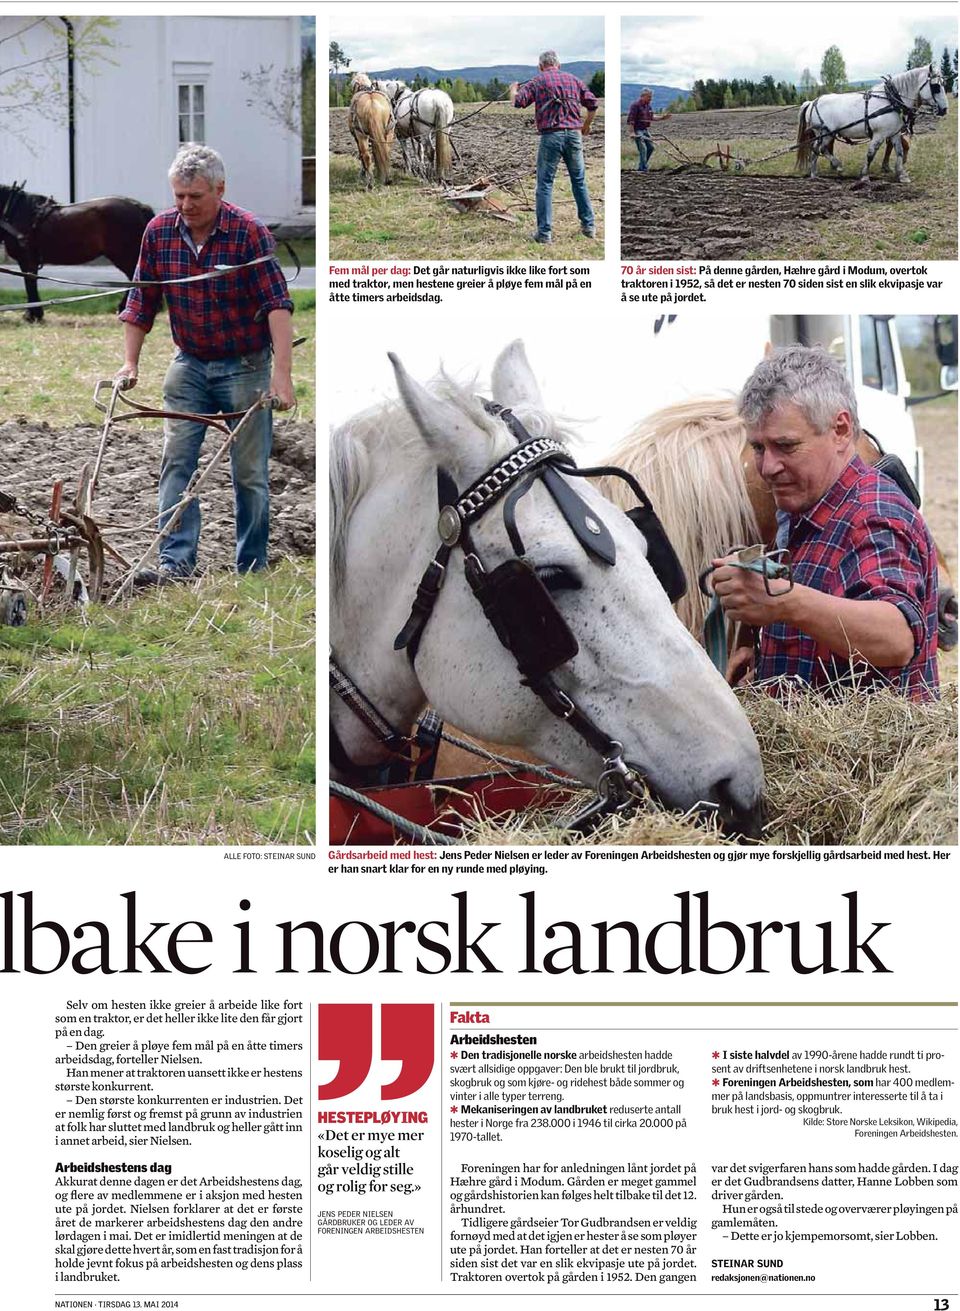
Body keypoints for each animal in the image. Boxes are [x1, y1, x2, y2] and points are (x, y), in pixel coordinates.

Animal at [0, 182, 152, 322]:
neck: (15, 211)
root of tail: (138, 207)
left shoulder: (27, 260)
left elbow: (30, 284)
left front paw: (33, 315)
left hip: (123, 256)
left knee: (135, 279)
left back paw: (124, 309)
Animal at [797, 62, 949, 180]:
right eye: (936, 87)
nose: (944, 109)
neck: (891, 99)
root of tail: (812, 102)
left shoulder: (894, 133)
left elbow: (899, 151)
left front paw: (901, 175)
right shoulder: (879, 134)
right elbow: (871, 153)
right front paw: (864, 175)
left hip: (825, 134)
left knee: (815, 149)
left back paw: (814, 174)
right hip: (825, 132)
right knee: (821, 148)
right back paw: (837, 166)